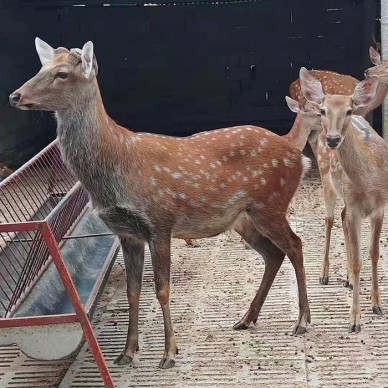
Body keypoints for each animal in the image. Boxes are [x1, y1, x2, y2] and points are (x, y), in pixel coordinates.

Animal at [9, 39, 312, 370]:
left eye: (62, 74)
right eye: (41, 67)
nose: (15, 95)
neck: (115, 168)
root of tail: (300, 157)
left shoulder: (159, 222)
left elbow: (163, 290)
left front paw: (169, 353)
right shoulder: (127, 233)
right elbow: (133, 292)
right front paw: (127, 352)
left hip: (271, 203)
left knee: (295, 244)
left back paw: (302, 322)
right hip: (243, 218)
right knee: (273, 254)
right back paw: (246, 318)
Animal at [302, 73, 386, 334]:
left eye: (349, 110)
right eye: (322, 110)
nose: (332, 139)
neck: (368, 180)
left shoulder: (380, 207)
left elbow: (374, 253)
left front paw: (377, 305)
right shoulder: (355, 207)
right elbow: (359, 260)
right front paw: (355, 320)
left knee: (340, 217)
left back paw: (348, 279)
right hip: (324, 178)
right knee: (329, 219)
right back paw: (324, 274)